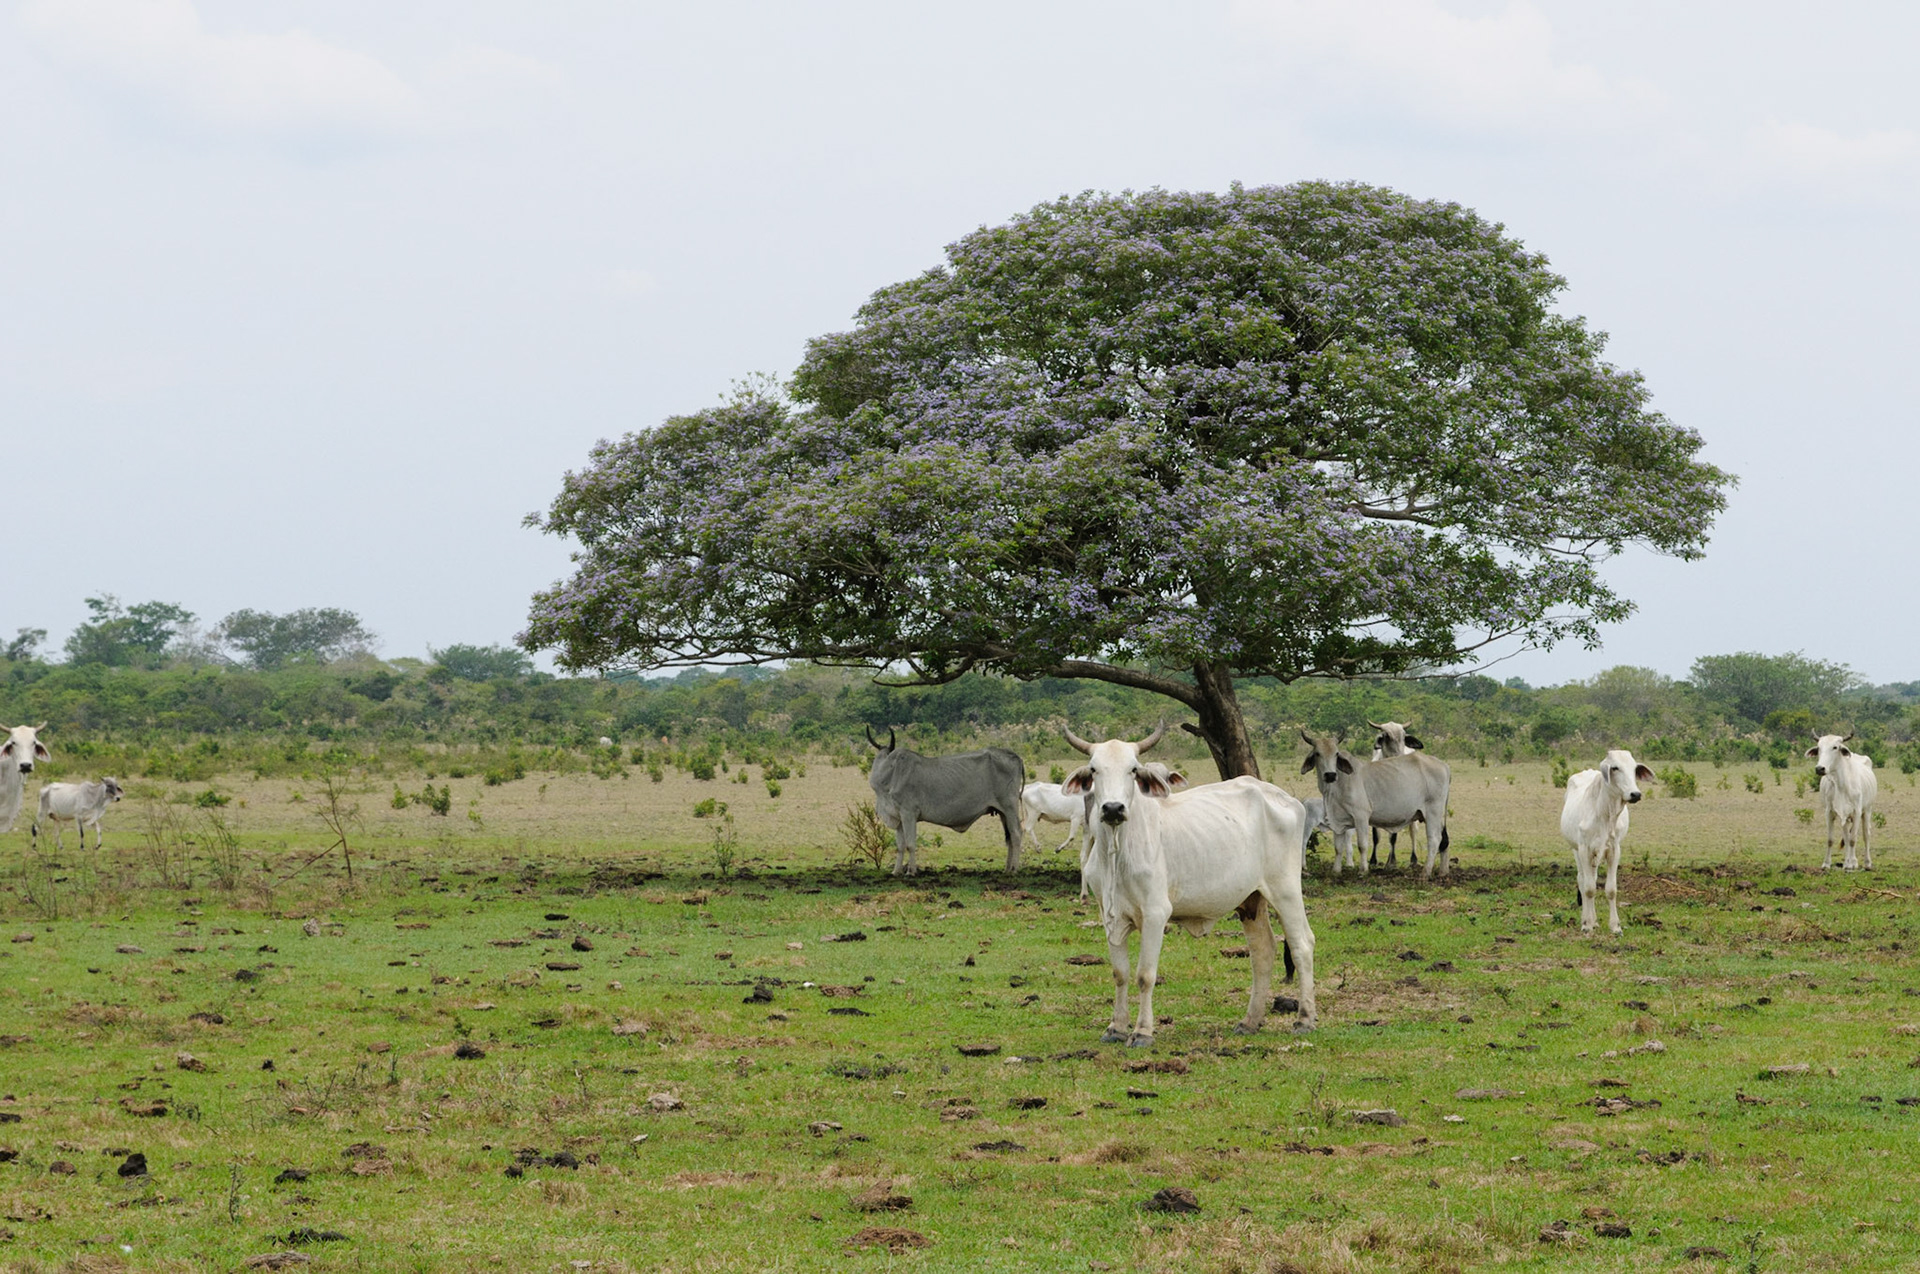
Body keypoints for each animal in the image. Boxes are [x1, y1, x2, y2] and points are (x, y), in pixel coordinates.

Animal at [865, 727, 1025, 875]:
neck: (890, 772)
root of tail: (1015, 755)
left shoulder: (908, 813)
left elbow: (910, 844)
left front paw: (911, 871)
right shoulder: (898, 817)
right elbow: (900, 846)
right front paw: (896, 871)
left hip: (1010, 807)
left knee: (1016, 834)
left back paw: (1015, 869)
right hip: (1002, 812)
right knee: (1009, 838)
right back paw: (1007, 869)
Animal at [1065, 723, 1316, 1046]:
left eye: (1133, 769)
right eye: (1094, 769)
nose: (1112, 808)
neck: (1118, 850)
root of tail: (1281, 796)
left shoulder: (1156, 912)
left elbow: (1145, 975)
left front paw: (1142, 1032)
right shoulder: (1109, 914)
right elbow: (1120, 973)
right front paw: (1116, 1028)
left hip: (1285, 888)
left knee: (1301, 944)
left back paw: (1305, 1019)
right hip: (1251, 899)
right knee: (1262, 951)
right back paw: (1250, 1021)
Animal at [1299, 732, 1452, 878]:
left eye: (1336, 754)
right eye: (1317, 753)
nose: (1330, 775)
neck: (1335, 787)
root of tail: (1444, 765)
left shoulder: (1361, 816)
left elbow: (1362, 845)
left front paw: (1363, 870)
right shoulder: (1338, 820)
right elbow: (1338, 848)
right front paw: (1336, 871)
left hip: (1433, 812)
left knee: (1434, 839)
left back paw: (1426, 872)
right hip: (1436, 815)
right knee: (1444, 839)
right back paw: (1443, 871)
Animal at [1559, 749, 1654, 934]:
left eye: (1634, 768)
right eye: (1615, 768)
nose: (1635, 794)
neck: (1605, 813)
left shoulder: (1614, 850)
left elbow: (1610, 889)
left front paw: (1615, 926)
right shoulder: (1584, 849)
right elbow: (1588, 889)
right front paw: (1587, 925)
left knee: (1593, 879)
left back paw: (1595, 921)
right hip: (1576, 850)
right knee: (1582, 881)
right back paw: (1586, 920)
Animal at [1808, 732, 1877, 871]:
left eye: (1835, 747)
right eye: (1819, 748)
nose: (1820, 768)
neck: (1841, 784)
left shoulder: (1857, 812)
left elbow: (1853, 839)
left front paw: (1852, 866)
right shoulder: (1830, 812)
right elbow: (1831, 839)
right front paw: (1827, 864)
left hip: (1867, 810)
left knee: (1866, 835)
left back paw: (1866, 863)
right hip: (1845, 816)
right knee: (1846, 835)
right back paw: (1848, 862)